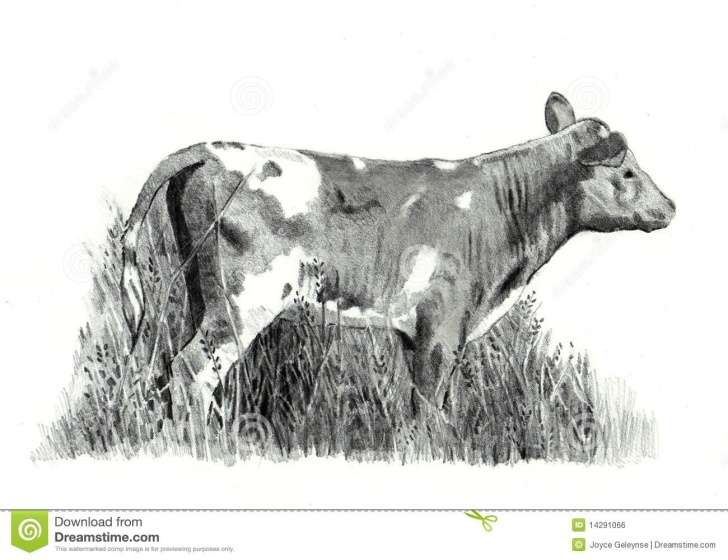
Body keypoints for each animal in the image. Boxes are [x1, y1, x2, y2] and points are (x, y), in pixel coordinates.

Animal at [120, 92, 675, 417]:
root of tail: (213, 150)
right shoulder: (441, 328)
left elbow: (426, 411)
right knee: (190, 370)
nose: (670, 206)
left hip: (201, 291)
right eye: (627, 171)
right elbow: (429, 414)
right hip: (243, 301)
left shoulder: (419, 334)